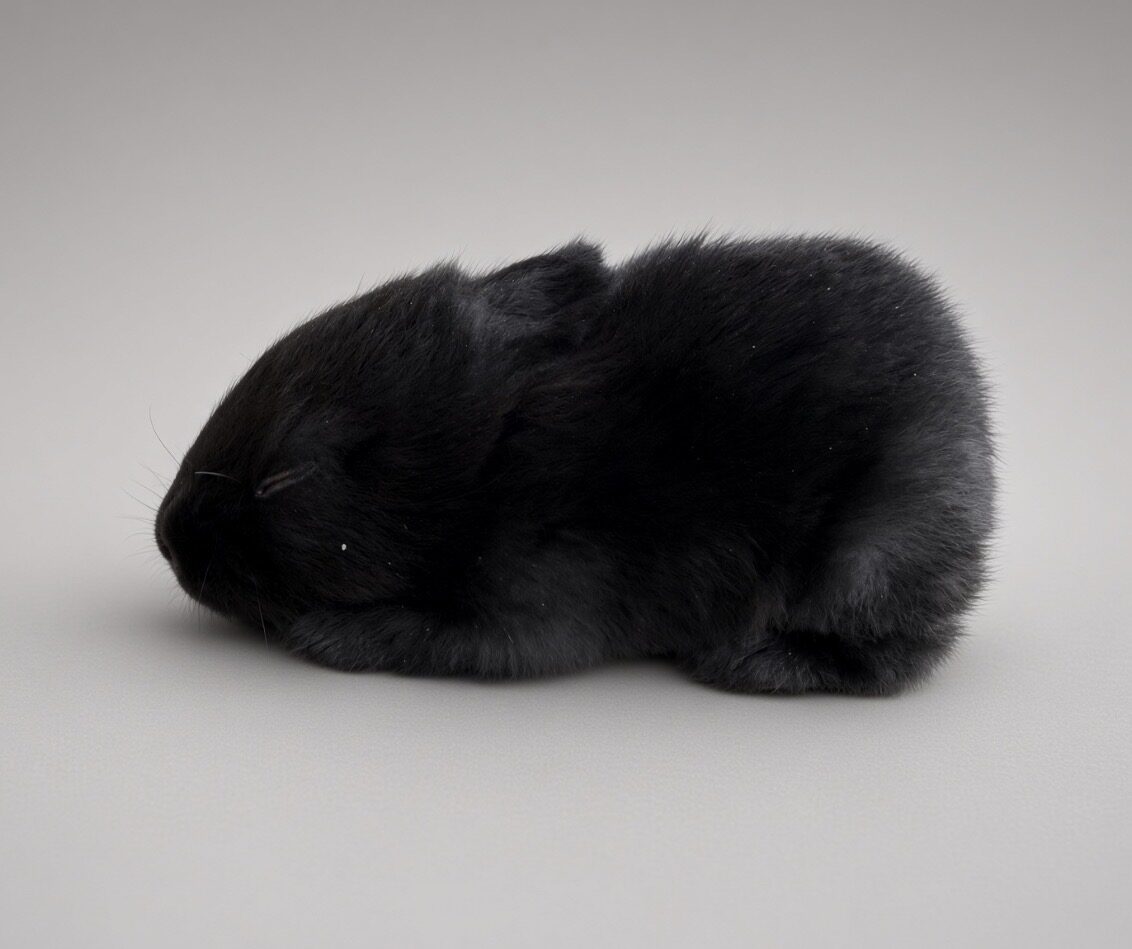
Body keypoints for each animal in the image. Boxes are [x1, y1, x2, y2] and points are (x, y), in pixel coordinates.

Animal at [154, 234, 995, 695]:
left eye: (282, 478)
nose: (166, 537)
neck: (483, 457)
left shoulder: (528, 600)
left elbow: (428, 634)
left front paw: (328, 637)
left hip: (868, 552)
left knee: (898, 657)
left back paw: (752, 661)